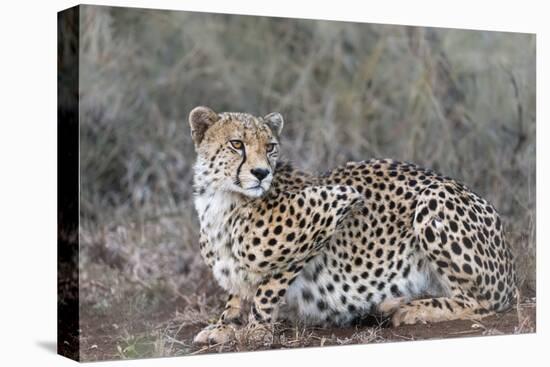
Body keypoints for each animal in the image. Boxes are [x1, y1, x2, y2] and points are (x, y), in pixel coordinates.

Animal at [189, 105, 516, 344]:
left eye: (270, 147)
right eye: (236, 144)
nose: (261, 173)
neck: (222, 200)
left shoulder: (336, 203)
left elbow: (267, 289)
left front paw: (255, 331)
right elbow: (237, 293)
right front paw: (224, 326)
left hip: (433, 196)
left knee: (485, 302)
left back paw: (411, 309)